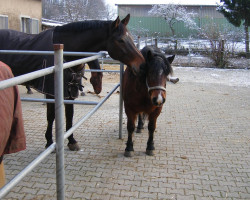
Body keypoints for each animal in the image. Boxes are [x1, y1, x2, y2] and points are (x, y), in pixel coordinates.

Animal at [0, 14, 145, 151]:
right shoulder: (51, 92)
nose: (142, 65)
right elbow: (51, 116)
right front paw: (49, 142)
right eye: (121, 40)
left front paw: (72, 141)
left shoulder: (70, 91)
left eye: (131, 38)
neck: (66, 50)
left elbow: (70, 116)